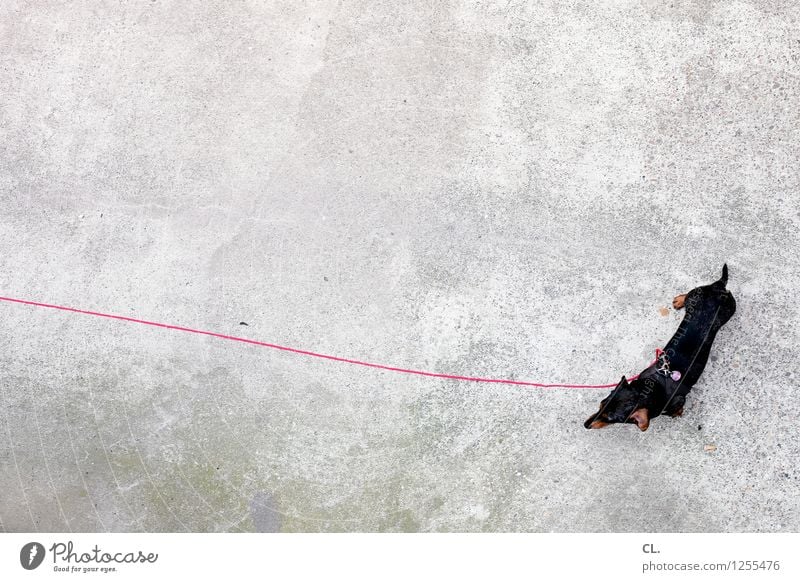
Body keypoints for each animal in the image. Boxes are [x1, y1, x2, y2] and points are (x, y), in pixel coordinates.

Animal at [580, 266, 736, 432]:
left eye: (610, 419)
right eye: (601, 404)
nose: (585, 425)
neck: (652, 389)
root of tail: (719, 287)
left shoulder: (679, 400)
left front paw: (677, 413)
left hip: (730, 309)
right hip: (696, 295)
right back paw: (679, 300)